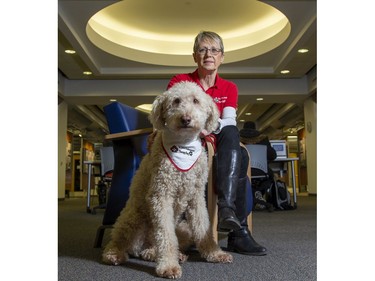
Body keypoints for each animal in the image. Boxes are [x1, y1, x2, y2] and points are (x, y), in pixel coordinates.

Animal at [101, 81, 234, 278]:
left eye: (196, 100)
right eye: (176, 100)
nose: (185, 119)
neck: (183, 146)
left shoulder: (196, 197)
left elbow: (203, 226)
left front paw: (214, 253)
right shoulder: (161, 195)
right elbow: (166, 235)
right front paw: (168, 266)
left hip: (183, 228)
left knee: (152, 247)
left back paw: (167, 254)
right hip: (133, 216)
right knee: (120, 239)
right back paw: (115, 254)